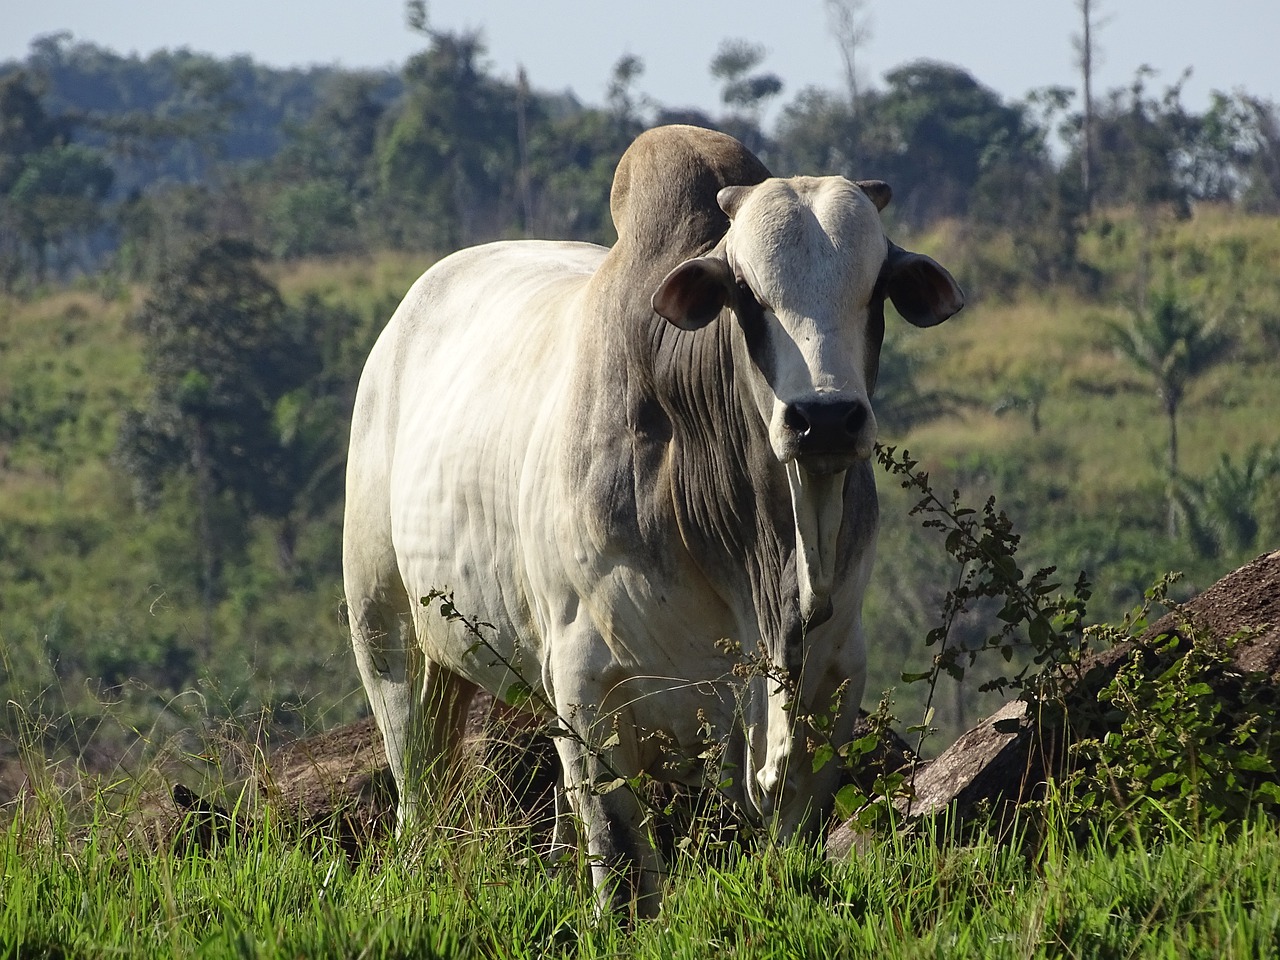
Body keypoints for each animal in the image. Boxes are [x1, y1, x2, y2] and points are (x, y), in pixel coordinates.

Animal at [340, 128, 962, 916]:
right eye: (745, 293)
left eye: (877, 287)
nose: (824, 420)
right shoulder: (588, 679)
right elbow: (621, 853)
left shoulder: (833, 680)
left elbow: (790, 838)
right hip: (387, 631)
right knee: (419, 787)